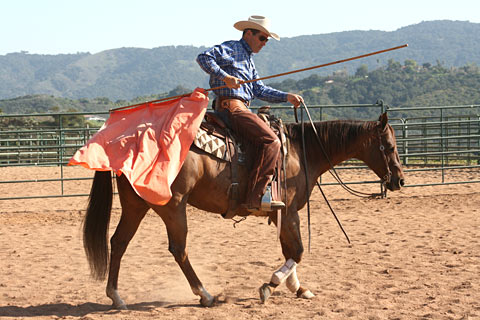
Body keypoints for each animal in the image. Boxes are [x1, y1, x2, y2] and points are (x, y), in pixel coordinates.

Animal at [83, 111, 404, 308]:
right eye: (389, 146)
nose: (399, 180)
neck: (301, 151)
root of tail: (127, 142)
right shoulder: (289, 212)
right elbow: (298, 251)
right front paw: (270, 285)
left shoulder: (282, 214)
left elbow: (290, 251)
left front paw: (298, 288)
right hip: (174, 206)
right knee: (178, 249)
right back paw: (205, 294)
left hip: (136, 205)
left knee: (119, 242)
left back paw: (116, 297)